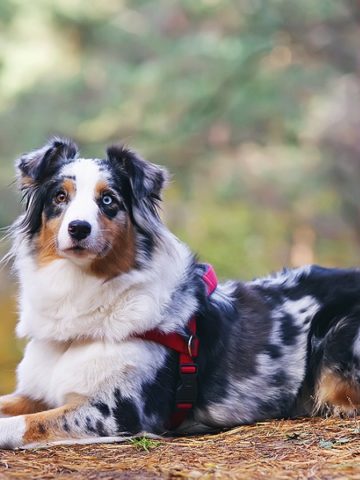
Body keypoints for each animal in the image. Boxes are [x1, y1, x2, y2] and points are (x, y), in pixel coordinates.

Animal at [0, 136, 360, 450]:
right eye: (60, 197)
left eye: (108, 200)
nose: (78, 228)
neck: (81, 295)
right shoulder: (36, 392)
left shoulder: (117, 412)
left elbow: (25, 423)